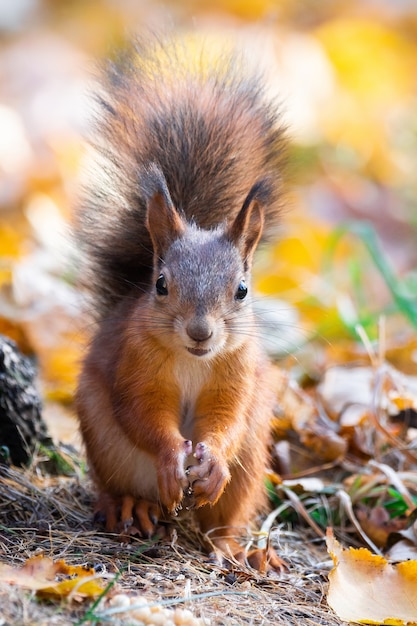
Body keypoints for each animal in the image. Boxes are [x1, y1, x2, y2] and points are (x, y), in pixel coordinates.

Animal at [75, 34, 288, 572]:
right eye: (161, 284)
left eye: (242, 289)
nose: (200, 332)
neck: (194, 361)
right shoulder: (135, 365)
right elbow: (143, 413)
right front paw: (174, 456)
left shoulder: (237, 373)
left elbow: (226, 418)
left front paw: (209, 459)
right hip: (105, 445)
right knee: (117, 488)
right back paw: (130, 507)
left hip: (252, 460)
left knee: (223, 519)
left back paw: (236, 548)